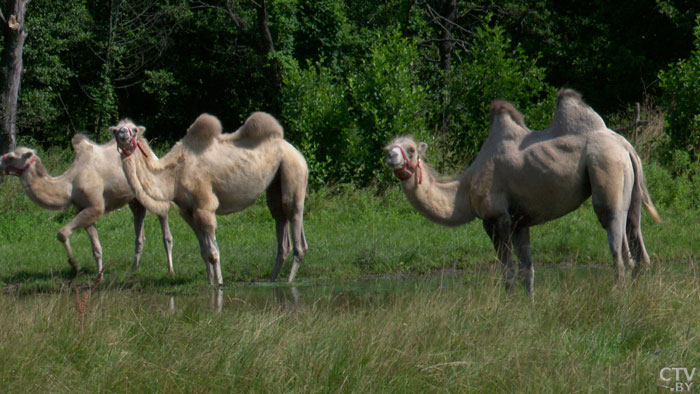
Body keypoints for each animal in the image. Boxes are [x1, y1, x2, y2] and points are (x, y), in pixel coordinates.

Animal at [0, 134, 174, 282]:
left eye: (11, 157)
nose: (0, 160)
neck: (69, 186)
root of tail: (150, 153)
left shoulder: (95, 206)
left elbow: (62, 233)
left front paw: (75, 266)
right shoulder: (83, 208)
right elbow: (96, 247)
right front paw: (99, 276)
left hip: (152, 187)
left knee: (163, 215)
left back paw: (170, 269)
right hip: (135, 199)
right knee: (139, 226)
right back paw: (133, 269)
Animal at [110, 112, 308, 284]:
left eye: (134, 129)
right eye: (116, 130)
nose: (123, 134)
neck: (174, 175)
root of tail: (298, 153)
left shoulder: (205, 206)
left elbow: (213, 252)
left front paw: (219, 284)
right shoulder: (188, 212)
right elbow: (204, 251)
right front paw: (210, 281)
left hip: (293, 170)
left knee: (294, 215)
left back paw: (289, 281)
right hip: (276, 183)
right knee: (280, 218)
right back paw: (273, 279)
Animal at [386, 88, 660, 292]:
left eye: (410, 149)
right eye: (389, 147)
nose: (391, 157)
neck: (464, 188)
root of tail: (626, 146)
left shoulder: (496, 218)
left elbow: (508, 272)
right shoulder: (520, 221)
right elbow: (527, 270)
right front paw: (529, 306)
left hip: (607, 171)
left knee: (618, 247)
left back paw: (617, 295)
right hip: (631, 188)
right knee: (637, 244)